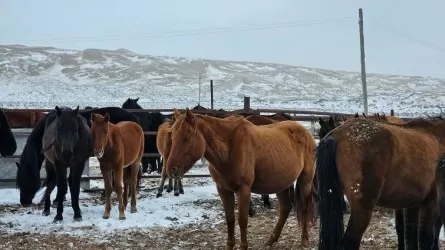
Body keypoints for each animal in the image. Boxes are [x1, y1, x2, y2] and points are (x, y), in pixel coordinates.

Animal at [166, 108, 316, 249]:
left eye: (186, 138)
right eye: (172, 137)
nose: (171, 170)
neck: (229, 149)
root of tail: (307, 133)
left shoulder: (243, 190)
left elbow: (242, 220)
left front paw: (243, 246)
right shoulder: (223, 190)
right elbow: (230, 219)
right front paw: (229, 245)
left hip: (305, 181)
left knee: (303, 208)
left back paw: (304, 240)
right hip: (281, 183)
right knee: (285, 208)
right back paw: (271, 240)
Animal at [316, 117, 444, 250]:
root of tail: (336, 136)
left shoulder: (412, 206)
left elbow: (410, 237)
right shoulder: (431, 205)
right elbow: (426, 238)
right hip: (362, 209)